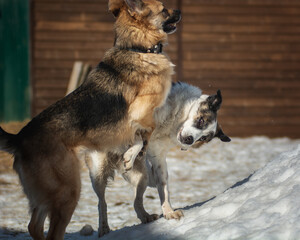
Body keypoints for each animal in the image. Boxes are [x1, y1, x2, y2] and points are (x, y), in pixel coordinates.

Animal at [0, 0, 180, 239]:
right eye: (164, 9)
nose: (180, 11)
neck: (137, 48)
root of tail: (19, 138)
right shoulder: (139, 113)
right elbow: (144, 135)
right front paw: (131, 154)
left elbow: (139, 137)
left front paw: (131, 155)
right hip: (69, 189)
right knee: (57, 227)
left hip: (48, 193)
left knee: (34, 225)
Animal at [83, 82, 231, 236]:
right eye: (201, 120)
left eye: (203, 138)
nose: (189, 140)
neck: (171, 124)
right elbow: (138, 139)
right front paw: (131, 154)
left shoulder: (158, 158)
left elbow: (163, 186)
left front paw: (169, 212)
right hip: (98, 172)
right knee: (102, 202)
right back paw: (104, 227)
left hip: (143, 176)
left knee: (136, 202)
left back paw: (145, 216)